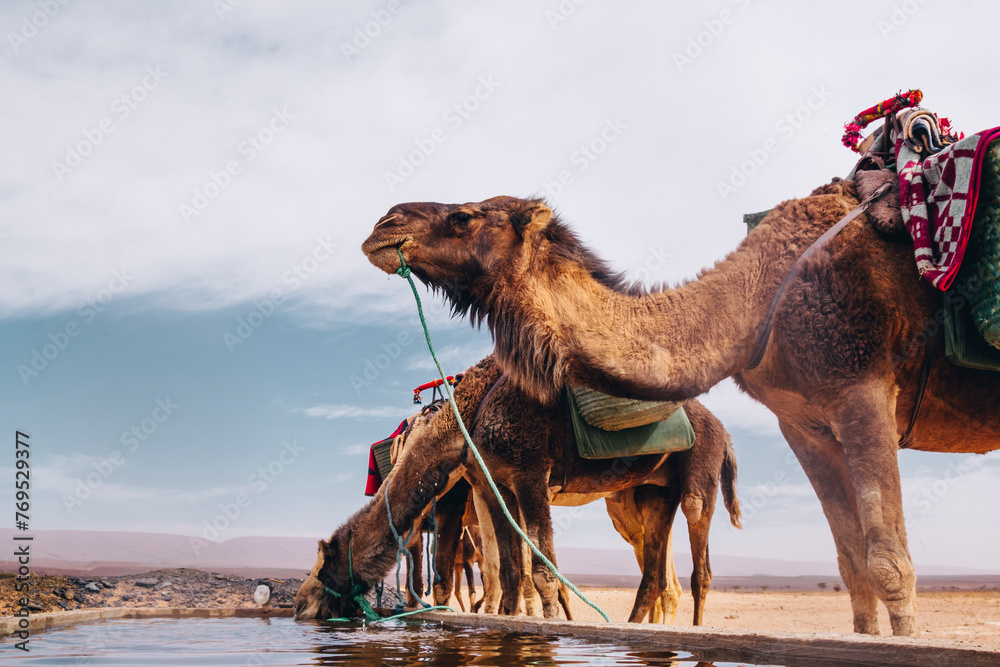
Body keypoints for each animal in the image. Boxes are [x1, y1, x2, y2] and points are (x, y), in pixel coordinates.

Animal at [295, 355, 741, 624]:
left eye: (323, 566)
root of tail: (726, 432)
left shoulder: (528, 474)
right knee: (654, 570)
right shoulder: (492, 484)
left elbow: (541, 572)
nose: (299, 605)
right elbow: (509, 569)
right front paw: (506, 622)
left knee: (698, 556)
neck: (466, 418)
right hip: (650, 492)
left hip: (697, 476)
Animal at [362, 185, 1000, 636]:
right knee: (655, 571)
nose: (382, 224)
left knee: (688, 571)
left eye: (464, 217)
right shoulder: (805, 422)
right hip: (644, 495)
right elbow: (853, 564)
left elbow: (889, 563)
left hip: (692, 485)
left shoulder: (861, 389)